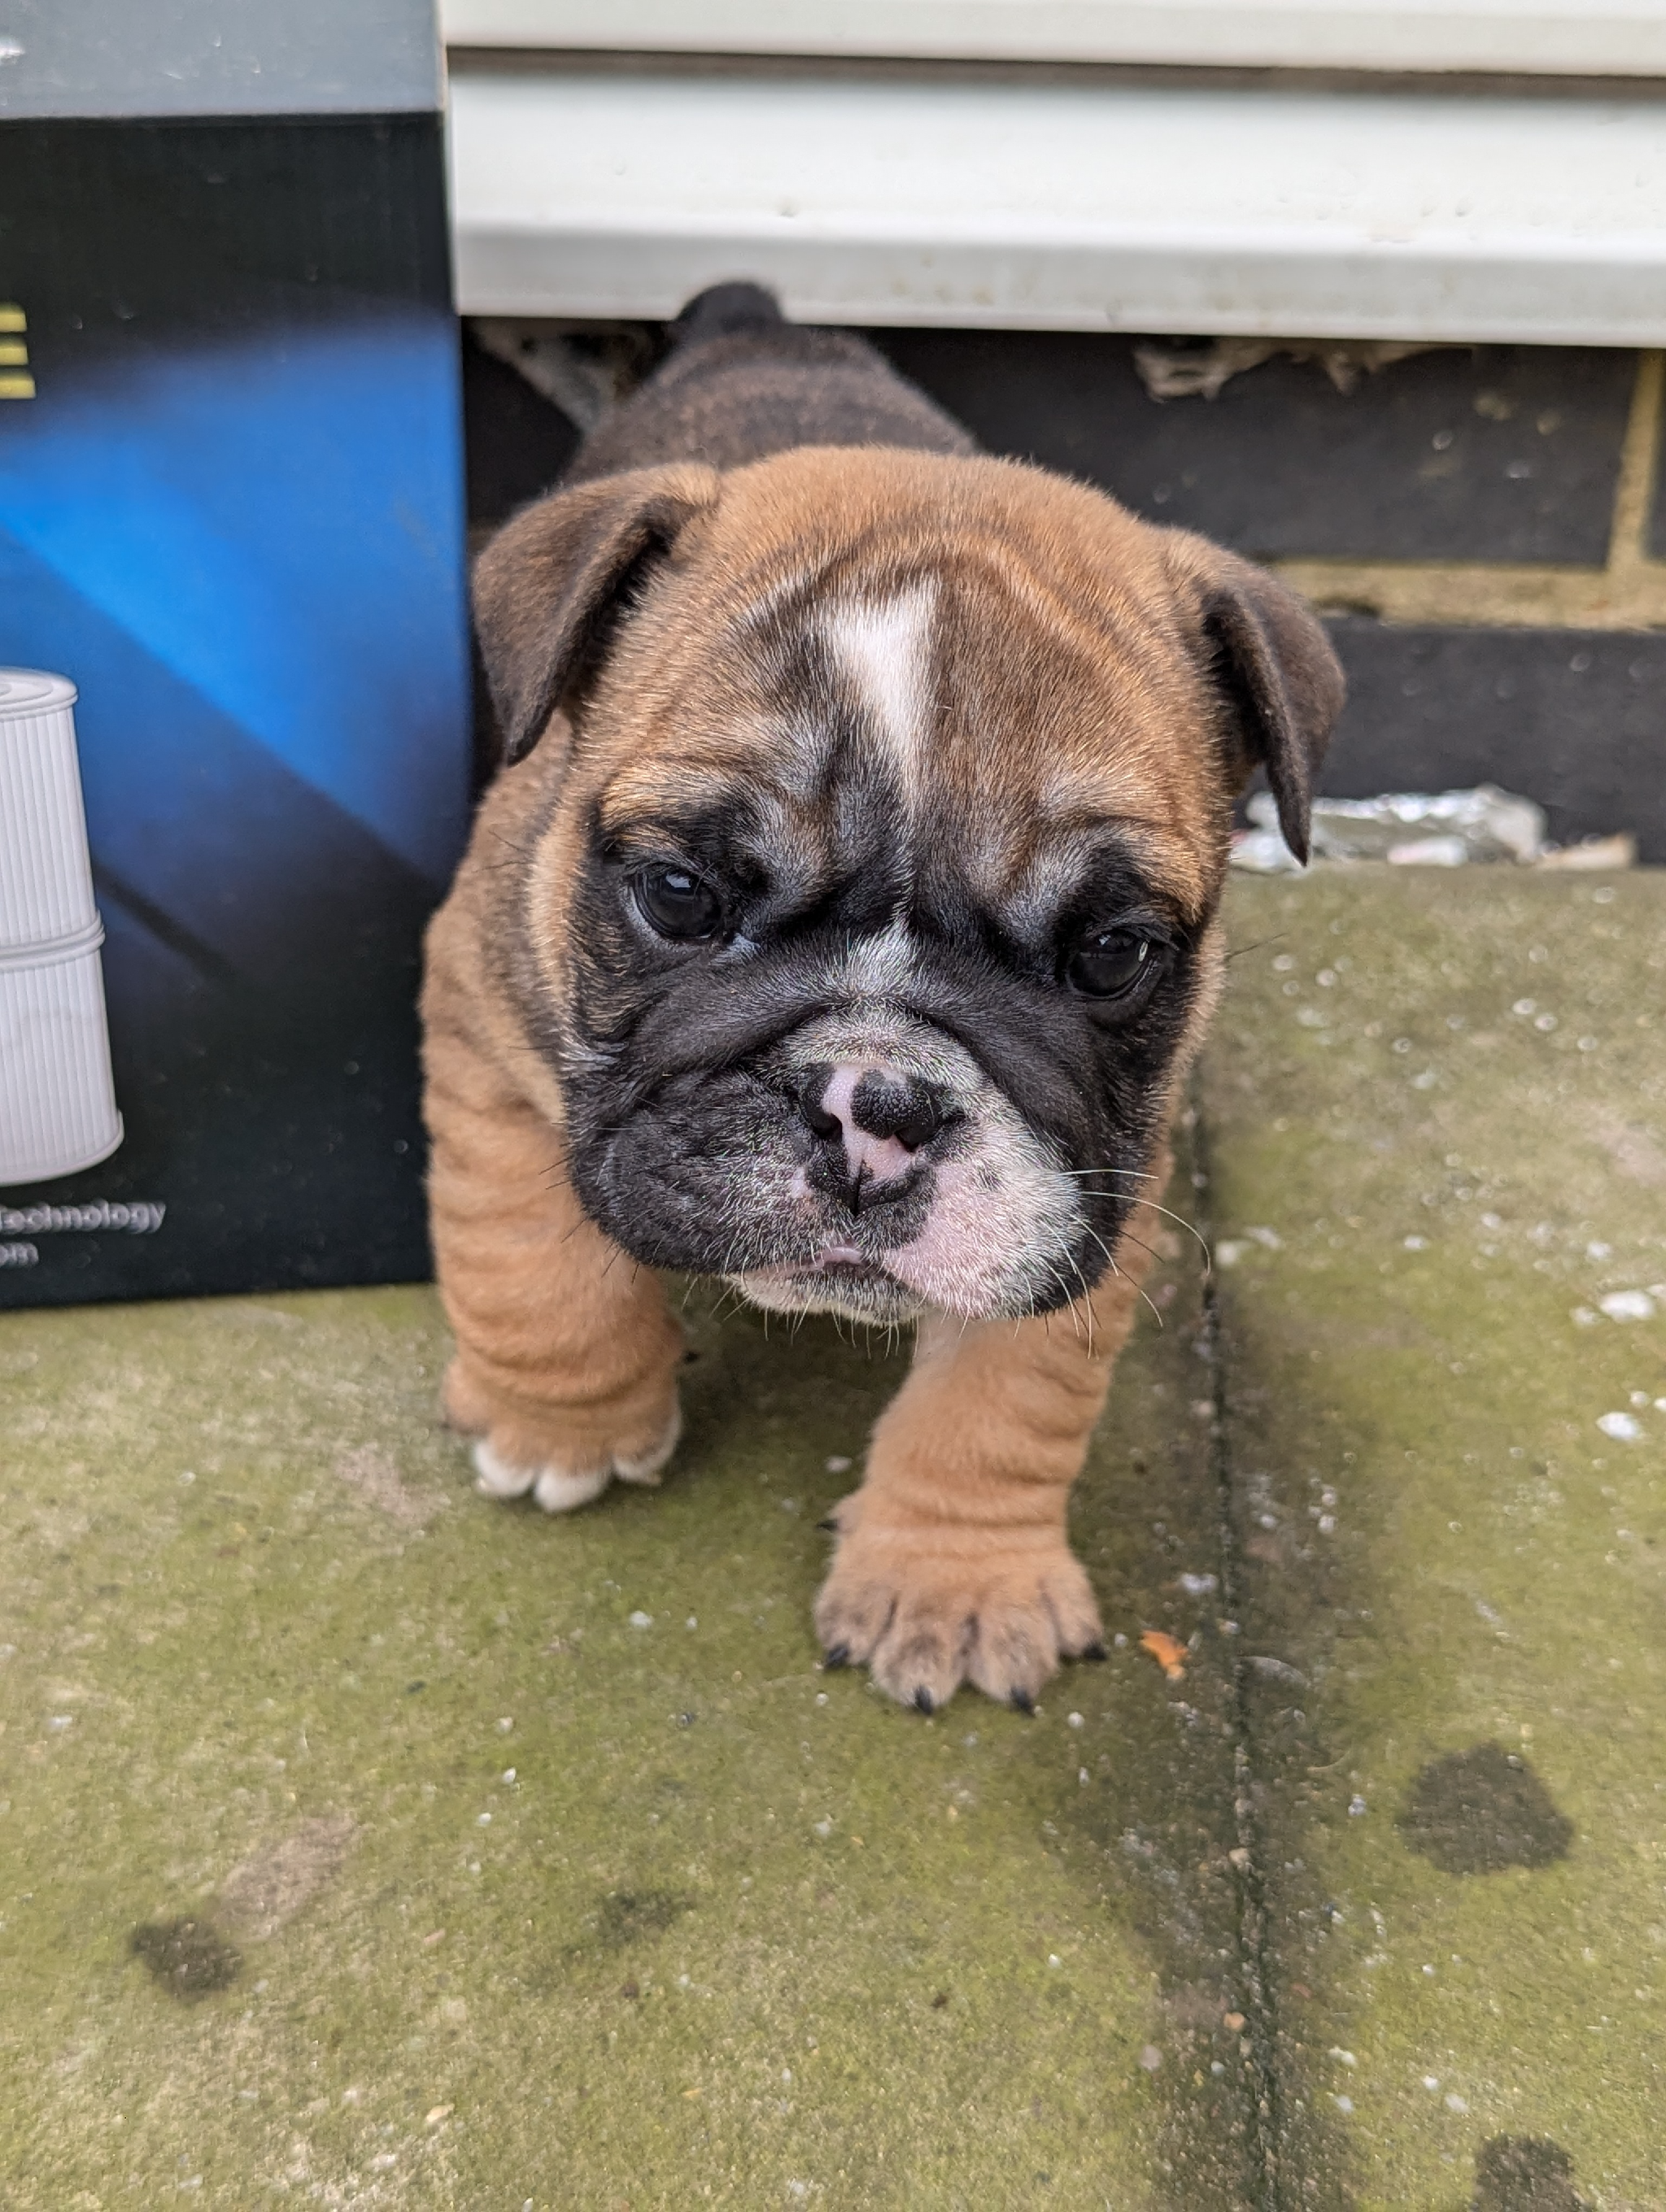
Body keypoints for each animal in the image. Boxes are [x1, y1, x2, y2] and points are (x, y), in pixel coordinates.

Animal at [425, 281, 1336, 1707]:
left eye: (1112, 953)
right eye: (680, 893)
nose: (875, 1106)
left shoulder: (1090, 1183)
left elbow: (1006, 1401)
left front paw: (953, 1582)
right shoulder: (479, 1024)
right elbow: (530, 1256)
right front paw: (557, 1423)